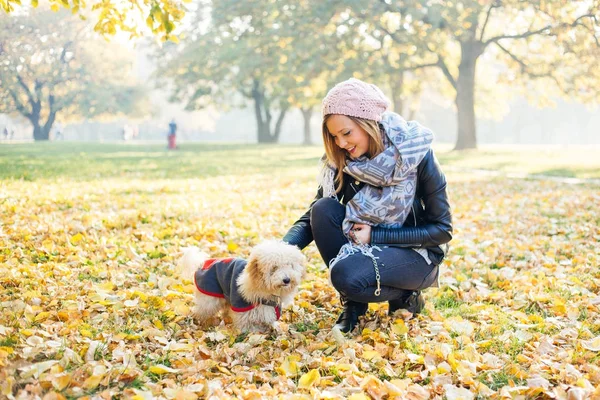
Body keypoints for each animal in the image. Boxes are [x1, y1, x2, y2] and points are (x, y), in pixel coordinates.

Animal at [179, 241, 308, 332]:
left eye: (290, 265)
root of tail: (202, 264)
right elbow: (246, 324)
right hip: (209, 298)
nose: (287, 280)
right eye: (274, 267)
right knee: (201, 311)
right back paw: (202, 323)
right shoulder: (242, 307)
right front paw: (254, 333)